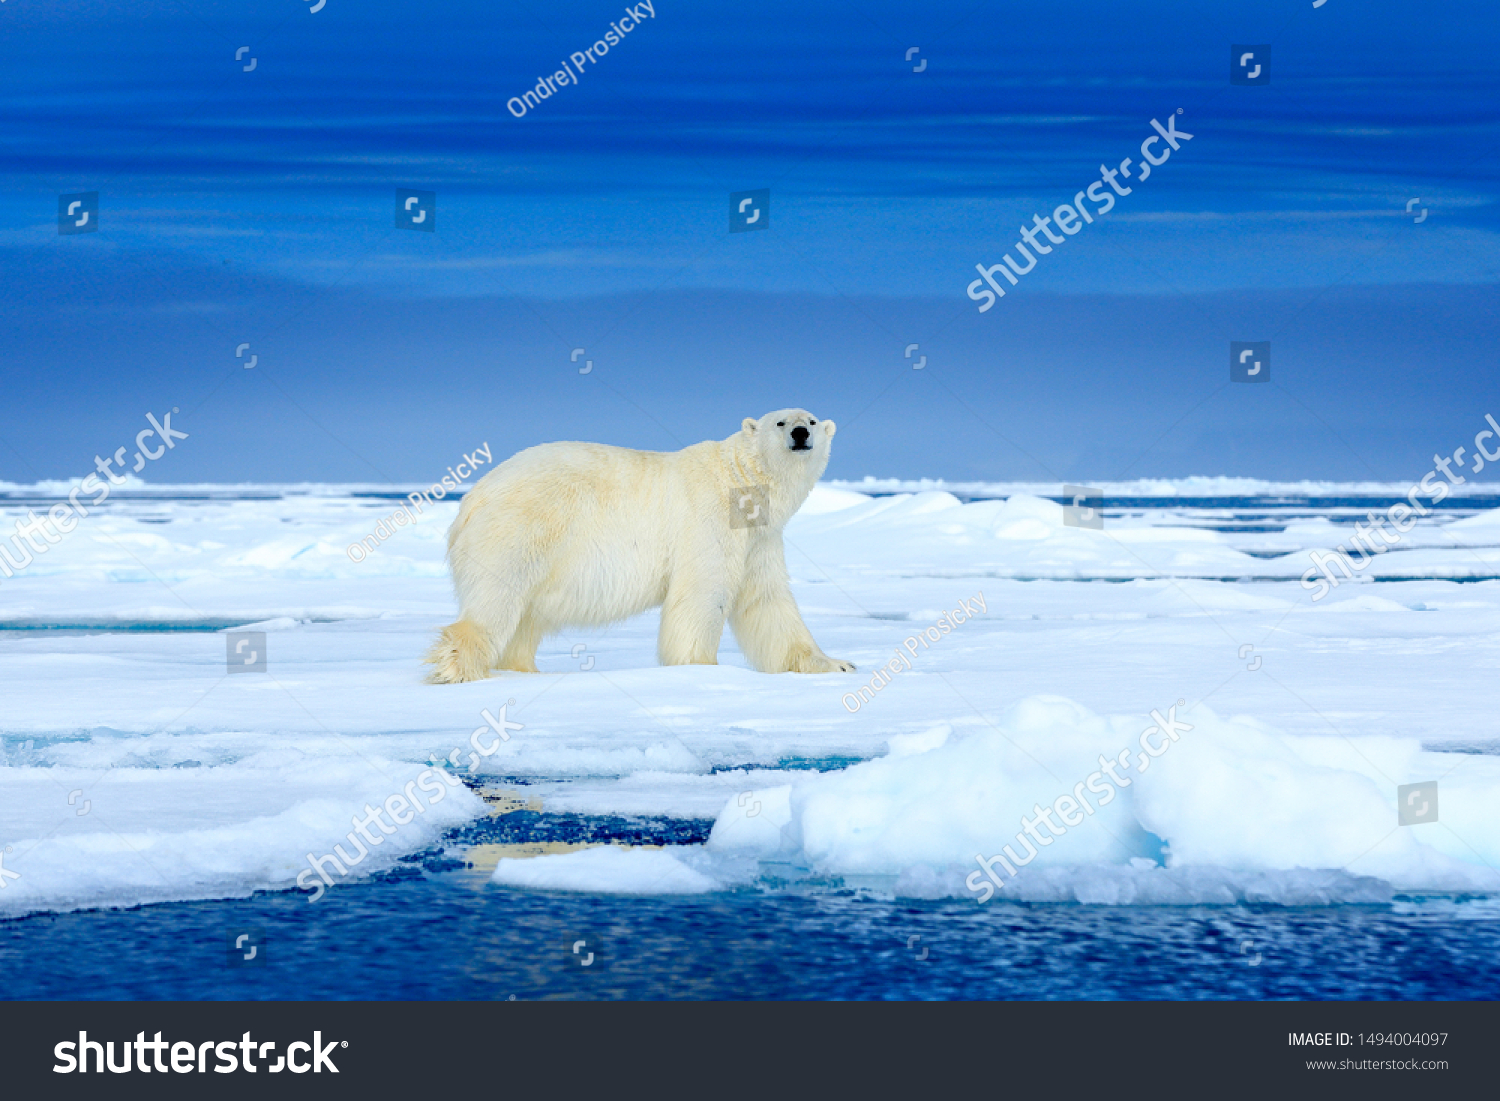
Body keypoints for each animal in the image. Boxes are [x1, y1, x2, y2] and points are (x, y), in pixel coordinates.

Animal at [426, 408, 858, 681]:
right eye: (780, 421)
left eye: (812, 420)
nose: (800, 434)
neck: (740, 481)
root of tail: (471, 498)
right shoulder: (708, 521)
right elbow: (703, 593)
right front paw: (700, 666)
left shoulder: (759, 539)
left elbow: (767, 601)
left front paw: (837, 665)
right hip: (522, 527)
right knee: (498, 599)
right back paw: (459, 668)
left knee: (524, 619)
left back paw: (522, 669)